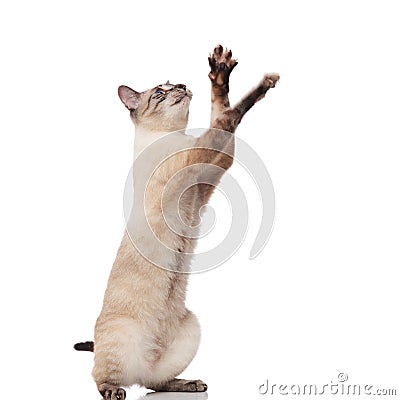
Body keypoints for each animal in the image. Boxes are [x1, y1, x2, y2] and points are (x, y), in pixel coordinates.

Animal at [74, 45, 278, 398]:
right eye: (160, 92)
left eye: (175, 85)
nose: (182, 87)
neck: (173, 135)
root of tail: (145, 360)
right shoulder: (201, 152)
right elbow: (227, 113)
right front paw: (239, 79)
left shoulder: (212, 170)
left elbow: (224, 115)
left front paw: (223, 71)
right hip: (122, 336)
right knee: (103, 376)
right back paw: (114, 390)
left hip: (191, 327)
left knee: (153, 382)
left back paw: (188, 383)